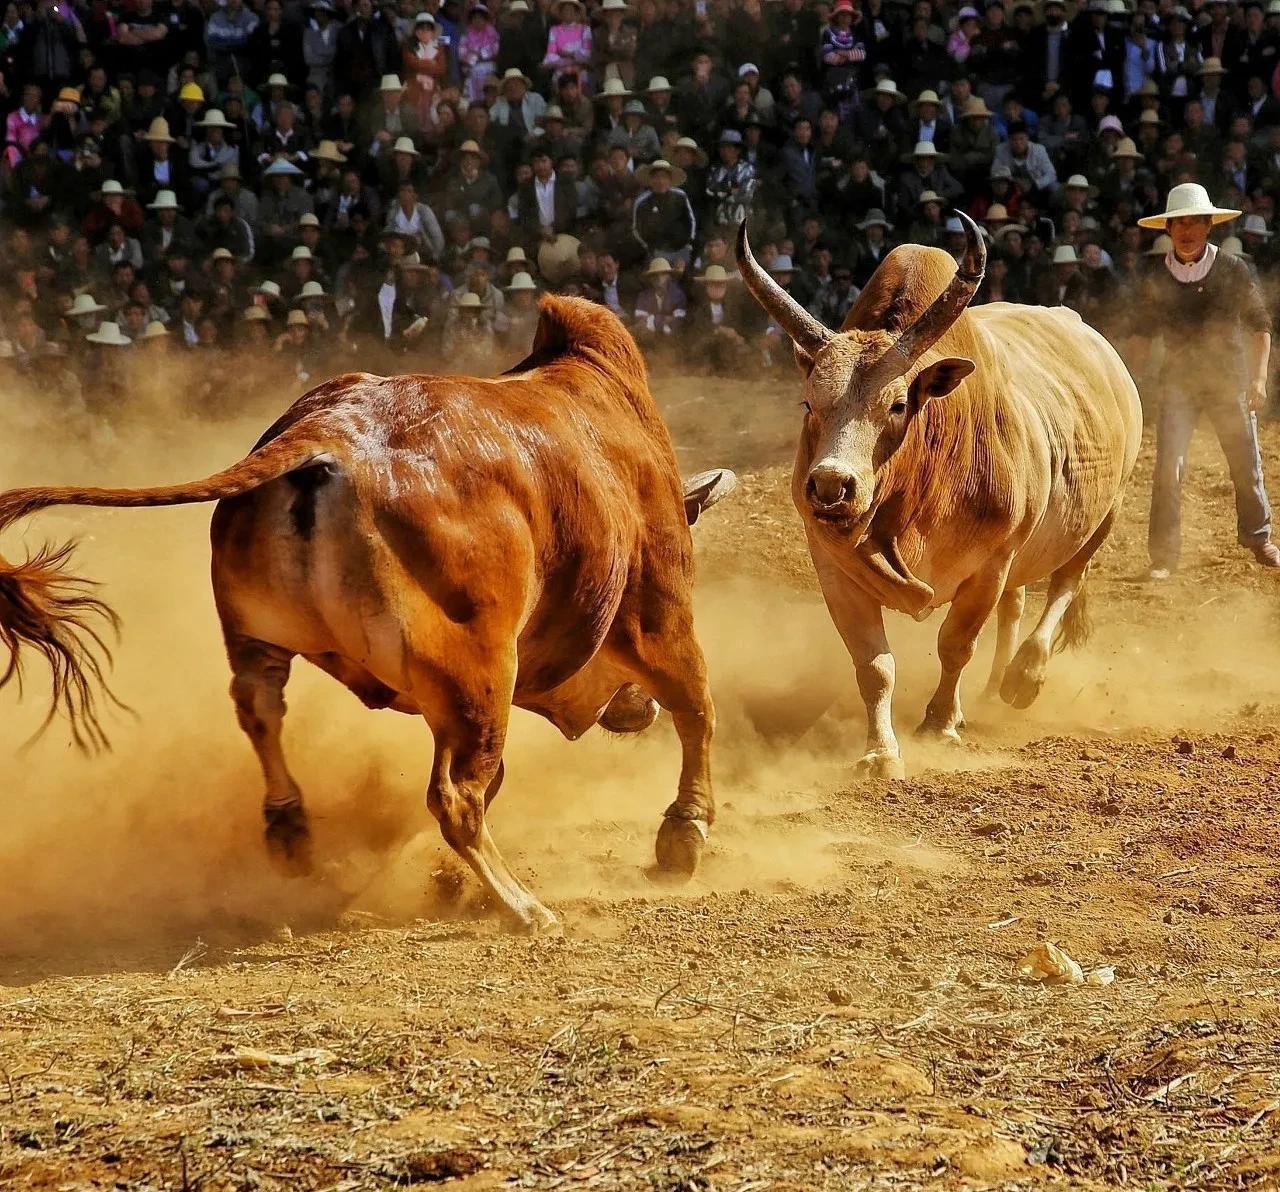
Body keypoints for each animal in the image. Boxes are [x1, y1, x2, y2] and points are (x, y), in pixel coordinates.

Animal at [0, 295, 732, 932]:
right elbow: (697, 705)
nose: (634, 709)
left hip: (258, 636)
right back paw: (524, 907)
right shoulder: (658, 611)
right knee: (455, 798)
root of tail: (327, 435)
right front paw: (683, 835)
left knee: (261, 710)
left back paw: (291, 829)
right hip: (479, 674)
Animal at [737, 216, 1146, 783]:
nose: (831, 485)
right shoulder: (833, 568)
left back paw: (1024, 675)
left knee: (1065, 583)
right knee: (1017, 602)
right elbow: (874, 666)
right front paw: (881, 752)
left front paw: (940, 723)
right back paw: (995, 686)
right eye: (809, 402)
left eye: (898, 404)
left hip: (1105, 513)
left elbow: (955, 644)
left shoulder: (990, 563)